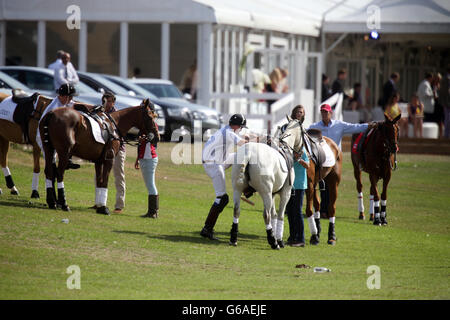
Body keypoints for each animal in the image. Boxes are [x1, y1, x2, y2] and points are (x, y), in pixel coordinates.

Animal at [229, 117, 302, 250]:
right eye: (304, 132)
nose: (300, 154)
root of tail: (248, 153)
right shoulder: (286, 192)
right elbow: (280, 215)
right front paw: (279, 240)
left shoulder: (273, 194)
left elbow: (274, 214)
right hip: (265, 192)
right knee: (266, 215)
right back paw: (273, 242)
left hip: (237, 189)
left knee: (236, 210)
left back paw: (233, 238)